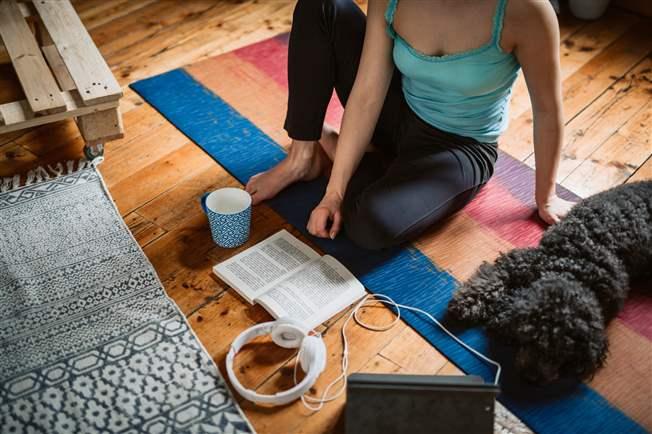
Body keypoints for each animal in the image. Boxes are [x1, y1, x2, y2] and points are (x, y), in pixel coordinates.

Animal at [448, 180, 652, 384]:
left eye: (563, 352)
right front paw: (468, 304)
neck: (572, 268)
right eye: (529, 337)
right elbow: (492, 280)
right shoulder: (521, 261)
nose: (532, 377)